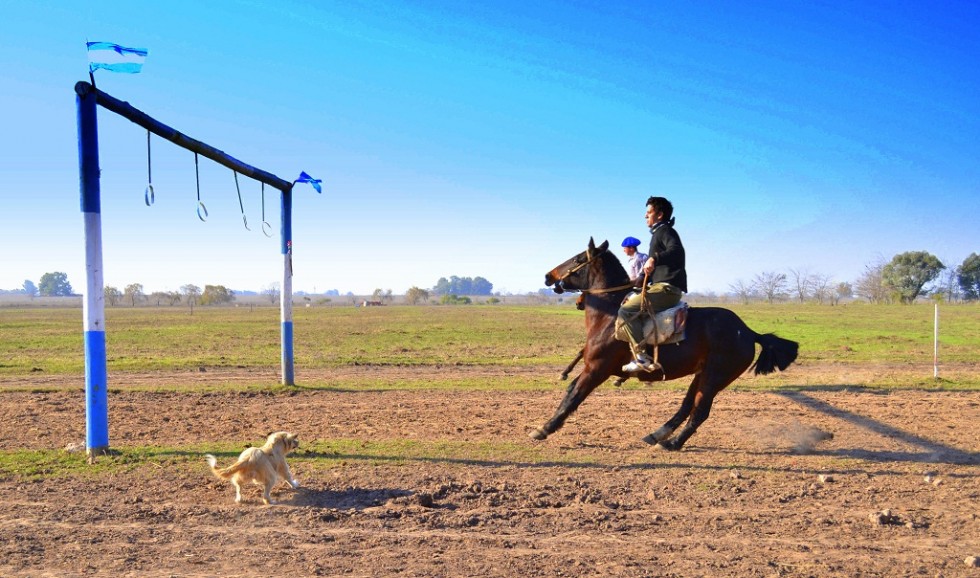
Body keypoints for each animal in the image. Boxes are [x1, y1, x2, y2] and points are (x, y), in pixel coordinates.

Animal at [528, 238, 796, 450]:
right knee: (686, 407)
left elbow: (574, 396)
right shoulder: (591, 367)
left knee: (700, 411)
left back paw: (672, 443)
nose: (548, 276)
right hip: (703, 374)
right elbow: (571, 390)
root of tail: (748, 332)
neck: (610, 316)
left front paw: (545, 428)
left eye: (577, 258)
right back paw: (657, 435)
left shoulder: (597, 369)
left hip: (716, 376)